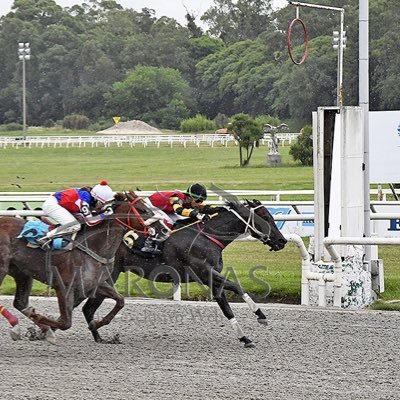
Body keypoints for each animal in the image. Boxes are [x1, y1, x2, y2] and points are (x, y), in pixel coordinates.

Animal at [0, 192, 159, 342]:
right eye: (142, 209)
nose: (160, 229)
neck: (94, 247)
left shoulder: (95, 283)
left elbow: (120, 300)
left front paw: (96, 324)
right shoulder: (63, 287)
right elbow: (65, 322)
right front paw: (41, 321)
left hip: (22, 273)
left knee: (20, 302)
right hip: (3, 269)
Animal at [82, 200, 288, 346]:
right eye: (266, 218)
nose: (282, 241)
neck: (207, 237)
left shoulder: (212, 279)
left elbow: (231, 299)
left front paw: (252, 327)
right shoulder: (206, 274)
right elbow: (234, 294)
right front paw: (253, 325)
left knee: (87, 309)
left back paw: (99, 337)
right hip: (109, 275)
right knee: (87, 308)